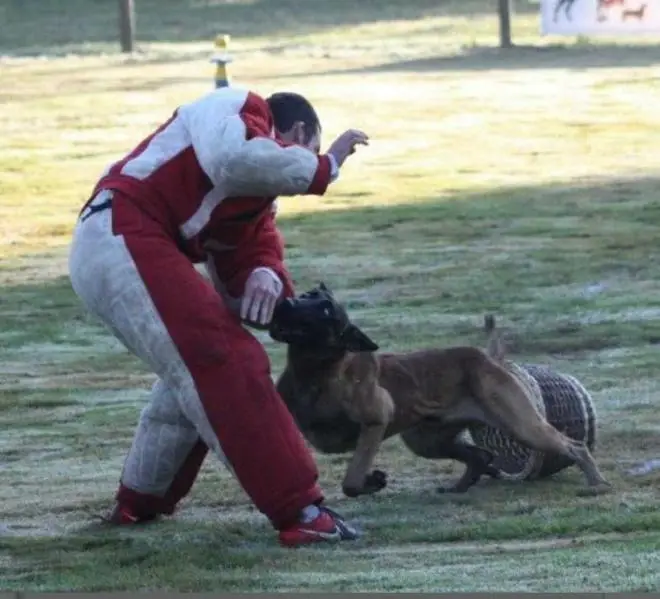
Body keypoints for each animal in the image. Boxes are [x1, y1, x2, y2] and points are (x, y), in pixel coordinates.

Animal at [270, 284, 612, 500]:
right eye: (308, 294)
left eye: (327, 309)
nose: (286, 303)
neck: (314, 372)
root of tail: (487, 356)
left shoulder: (375, 422)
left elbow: (351, 480)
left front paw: (371, 481)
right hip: (426, 439)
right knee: (480, 455)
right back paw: (461, 487)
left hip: (523, 425)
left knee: (573, 446)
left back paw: (597, 483)